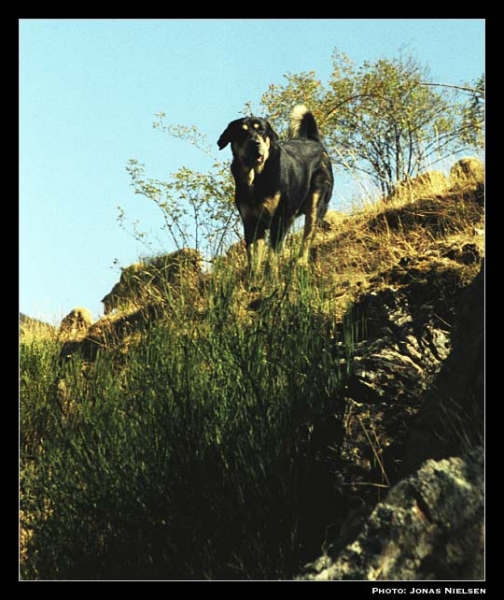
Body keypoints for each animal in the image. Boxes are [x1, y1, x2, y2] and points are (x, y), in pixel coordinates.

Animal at [218, 104, 332, 270]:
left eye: (261, 130)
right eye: (242, 131)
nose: (255, 143)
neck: (255, 179)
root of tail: (313, 141)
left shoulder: (278, 220)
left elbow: (272, 257)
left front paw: (272, 275)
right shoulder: (251, 223)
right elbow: (254, 257)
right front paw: (254, 277)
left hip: (315, 204)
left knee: (307, 236)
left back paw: (301, 263)